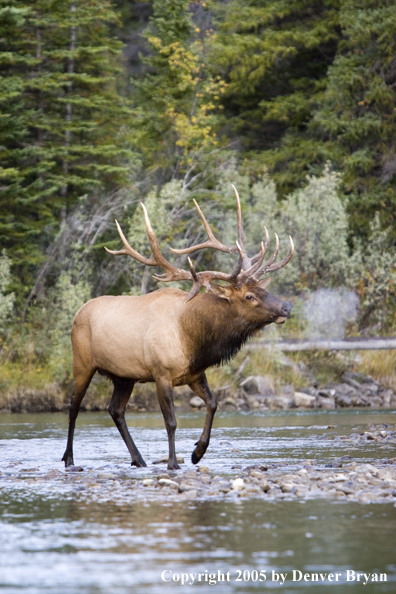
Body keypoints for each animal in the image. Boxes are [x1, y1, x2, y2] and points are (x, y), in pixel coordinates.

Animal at [60, 183, 292, 470]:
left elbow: (213, 403)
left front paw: (198, 452)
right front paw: (173, 463)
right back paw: (69, 458)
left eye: (263, 289)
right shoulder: (161, 373)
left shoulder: (194, 373)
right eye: (249, 296)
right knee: (73, 406)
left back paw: (138, 459)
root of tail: (78, 312)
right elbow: (171, 421)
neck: (193, 337)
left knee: (115, 410)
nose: (286, 307)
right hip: (82, 362)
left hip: (123, 376)